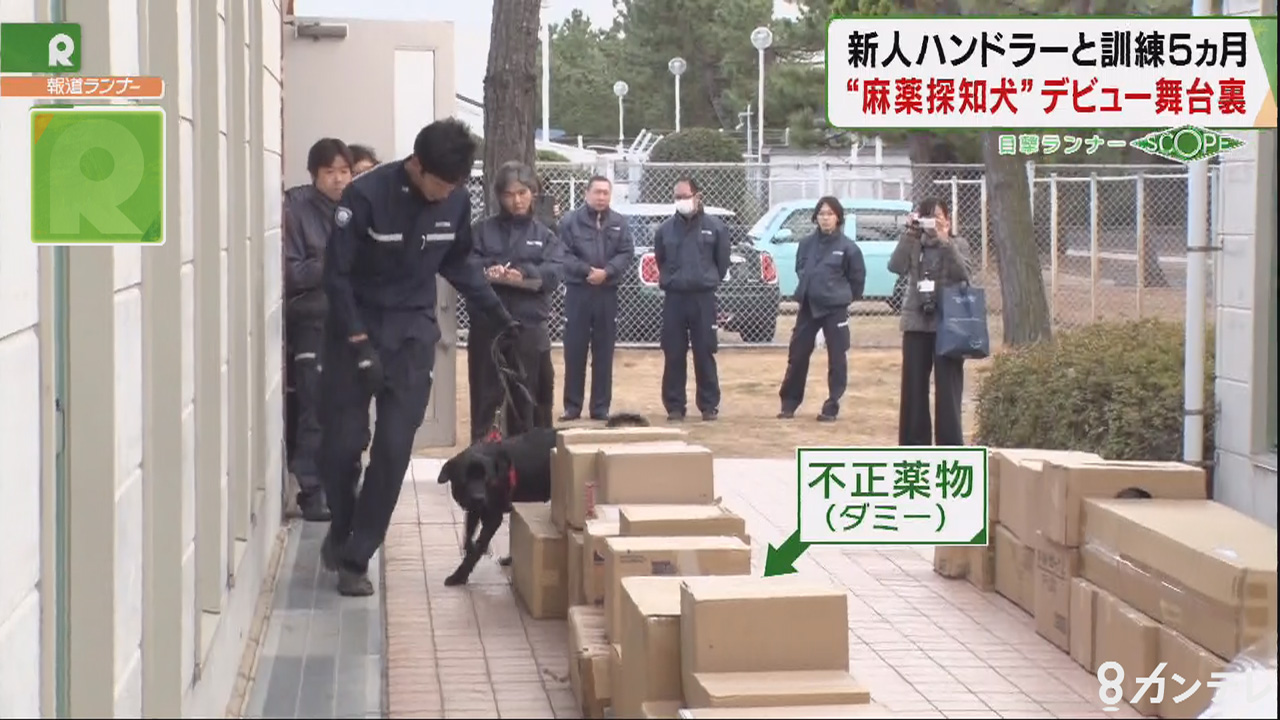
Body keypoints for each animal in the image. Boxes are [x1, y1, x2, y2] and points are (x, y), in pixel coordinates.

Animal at [437, 412, 650, 586]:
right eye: (465, 479)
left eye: (487, 479)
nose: (479, 497)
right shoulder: (475, 510)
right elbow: (468, 535)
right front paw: (469, 550)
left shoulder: (493, 516)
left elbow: (477, 547)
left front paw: (459, 575)